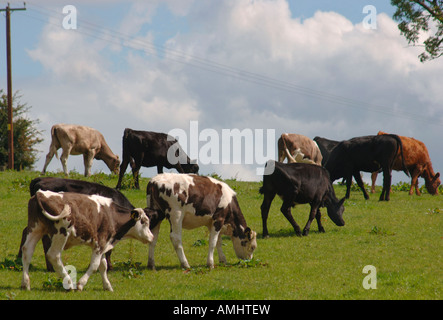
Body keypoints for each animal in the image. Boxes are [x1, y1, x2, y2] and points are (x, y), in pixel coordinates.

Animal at [18, 176, 165, 272]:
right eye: (151, 216)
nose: (161, 211)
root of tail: (39, 179)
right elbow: (109, 251)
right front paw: (109, 267)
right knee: (44, 239)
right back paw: (49, 267)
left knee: (26, 231)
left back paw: (21, 258)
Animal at [20, 190, 154, 292]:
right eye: (144, 222)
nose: (152, 237)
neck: (111, 215)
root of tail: (40, 193)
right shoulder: (101, 242)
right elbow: (94, 265)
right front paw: (81, 284)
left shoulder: (102, 245)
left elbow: (103, 265)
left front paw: (107, 286)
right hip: (61, 233)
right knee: (53, 255)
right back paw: (69, 283)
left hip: (35, 229)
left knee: (27, 251)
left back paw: (25, 283)